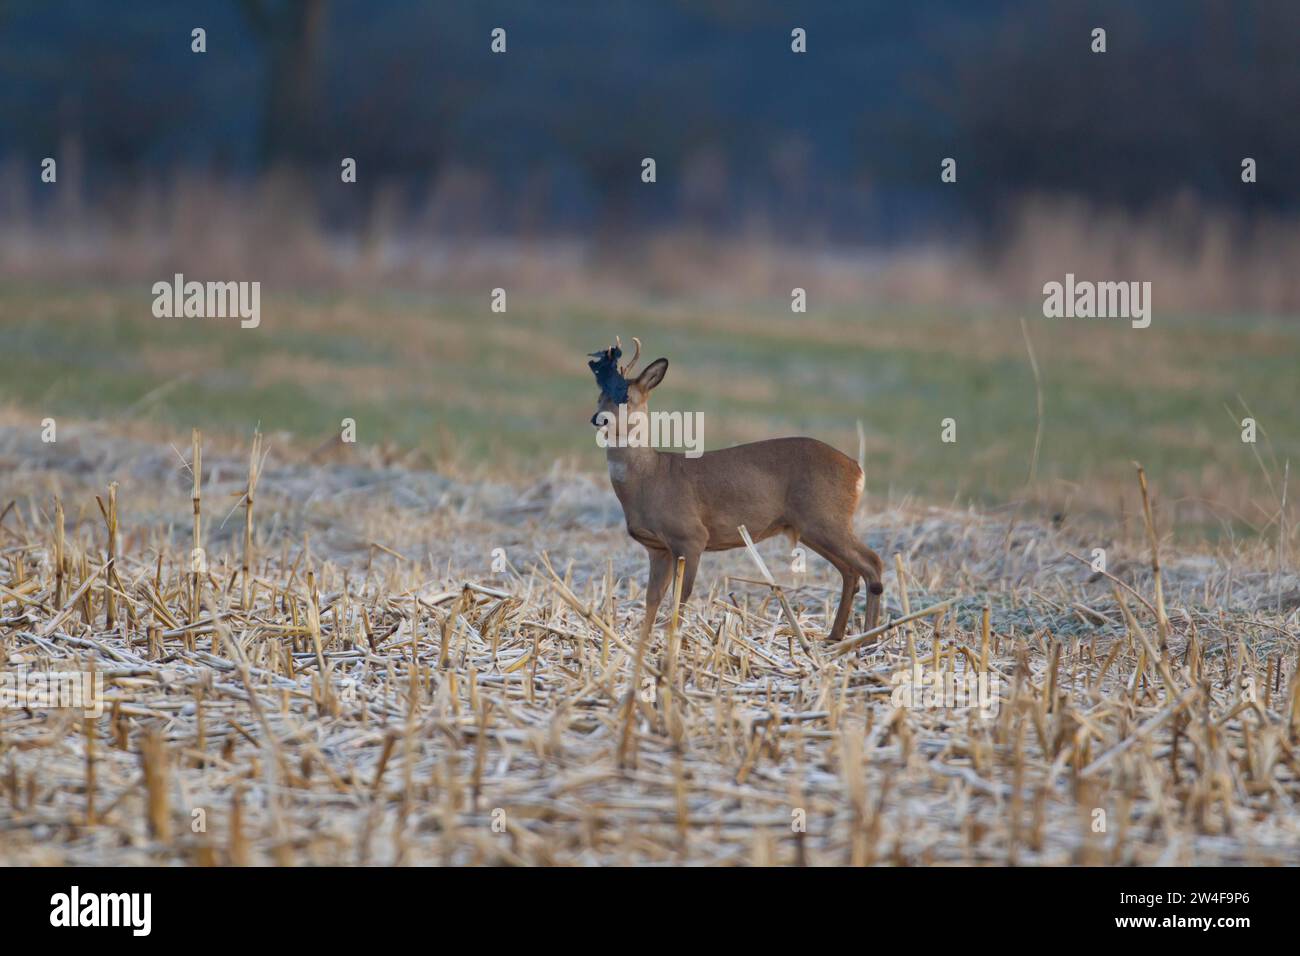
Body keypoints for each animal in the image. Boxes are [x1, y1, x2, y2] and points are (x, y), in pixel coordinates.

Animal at [588, 339, 885, 650]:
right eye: (599, 395)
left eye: (626, 397)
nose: (599, 419)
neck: (650, 477)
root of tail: (857, 470)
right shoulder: (658, 548)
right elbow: (652, 600)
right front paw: (641, 647)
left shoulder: (691, 536)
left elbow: (681, 597)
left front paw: (673, 644)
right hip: (811, 527)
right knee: (850, 571)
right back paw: (836, 636)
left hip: (826, 517)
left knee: (872, 563)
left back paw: (869, 639)